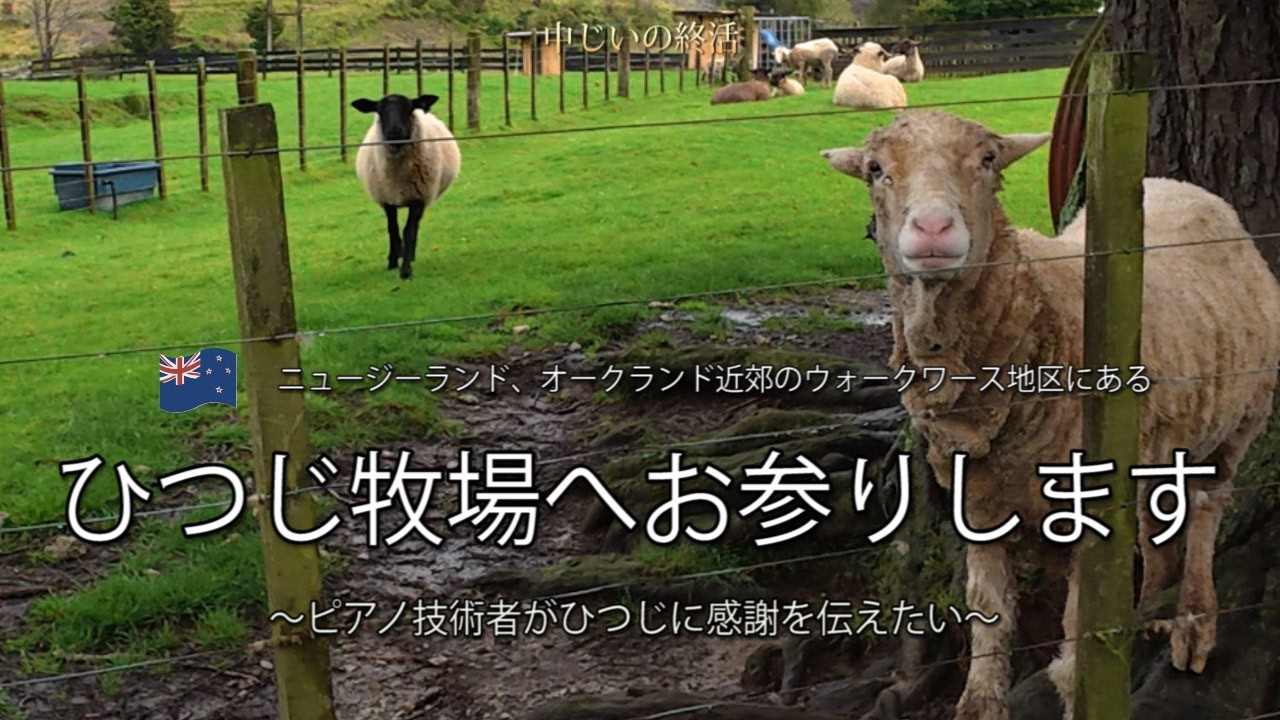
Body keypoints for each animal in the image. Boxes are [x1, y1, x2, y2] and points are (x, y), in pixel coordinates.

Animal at [352, 93, 460, 280]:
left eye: (409, 108)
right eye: (379, 111)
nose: (394, 131)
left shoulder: (418, 199)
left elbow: (409, 231)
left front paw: (406, 269)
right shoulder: (387, 199)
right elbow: (393, 229)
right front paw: (394, 260)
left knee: (415, 226)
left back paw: (412, 256)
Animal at [820, 109, 1280, 720]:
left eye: (988, 160)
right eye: (875, 169)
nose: (933, 229)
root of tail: (1180, 186)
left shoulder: (1090, 508)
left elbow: (1074, 655)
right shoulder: (978, 501)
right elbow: (986, 629)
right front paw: (982, 699)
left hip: (1240, 422)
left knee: (1207, 510)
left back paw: (1192, 626)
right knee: (1158, 518)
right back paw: (1151, 610)